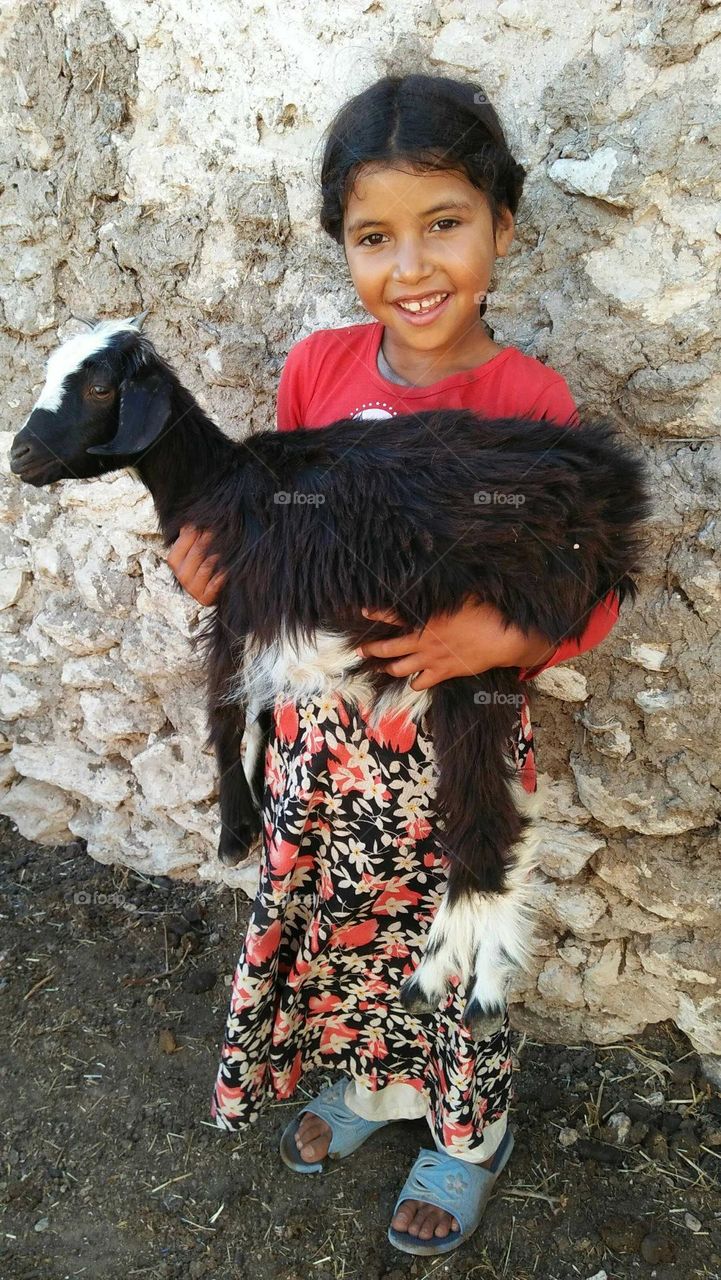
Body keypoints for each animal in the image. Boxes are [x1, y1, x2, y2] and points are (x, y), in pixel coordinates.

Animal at [8, 312, 650, 1039]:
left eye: (97, 387)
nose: (20, 457)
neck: (216, 482)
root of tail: (605, 495)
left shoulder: (237, 605)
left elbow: (223, 712)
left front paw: (234, 831)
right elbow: (259, 711)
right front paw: (251, 808)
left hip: (470, 642)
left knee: (484, 814)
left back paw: (441, 980)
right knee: (504, 816)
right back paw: (475, 983)